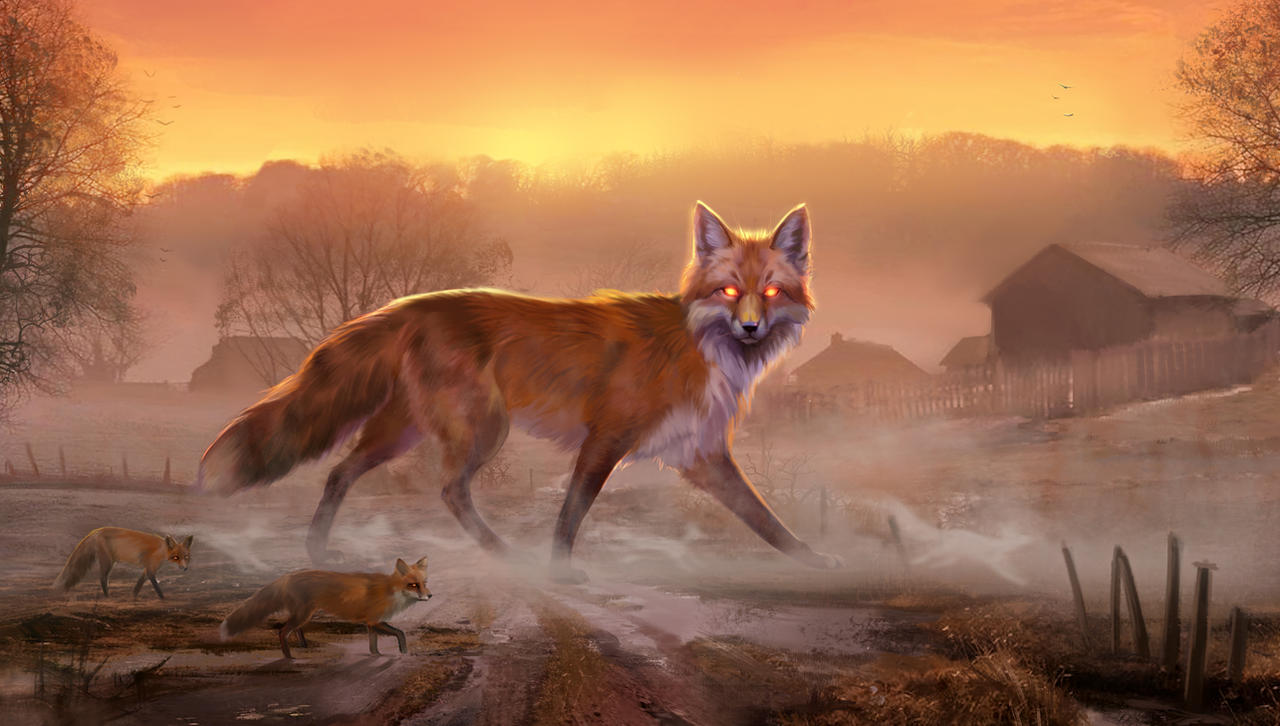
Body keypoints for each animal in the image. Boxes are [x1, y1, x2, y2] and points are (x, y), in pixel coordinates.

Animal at [53, 527, 193, 599]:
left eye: (186, 557)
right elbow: (156, 586)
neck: (162, 549)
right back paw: (107, 596)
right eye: (176, 557)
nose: (185, 568)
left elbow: (139, 583)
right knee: (102, 578)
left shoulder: (147, 569)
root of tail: (97, 530)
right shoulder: (151, 569)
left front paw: (133, 595)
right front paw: (163, 598)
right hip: (108, 562)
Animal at [198, 201, 841, 582]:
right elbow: (571, 511)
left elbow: (765, 520)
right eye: (730, 291)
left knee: (339, 471)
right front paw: (558, 572)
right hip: (483, 429)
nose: (751, 328)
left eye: (772, 292)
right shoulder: (606, 437)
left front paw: (816, 562)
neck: (700, 348)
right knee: (448, 489)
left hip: (404, 431)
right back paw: (500, 553)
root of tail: (410, 303)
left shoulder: (700, 456)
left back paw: (316, 552)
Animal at [219, 557, 431, 659]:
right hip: (303, 614)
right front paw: (404, 652)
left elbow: (373, 645)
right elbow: (400, 633)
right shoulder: (374, 620)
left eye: (424, 583)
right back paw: (290, 657)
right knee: (282, 631)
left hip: (304, 614)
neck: (389, 591)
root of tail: (287, 576)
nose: (430, 596)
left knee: (294, 630)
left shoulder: (371, 623)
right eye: (413, 585)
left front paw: (377, 655)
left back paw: (303, 647)